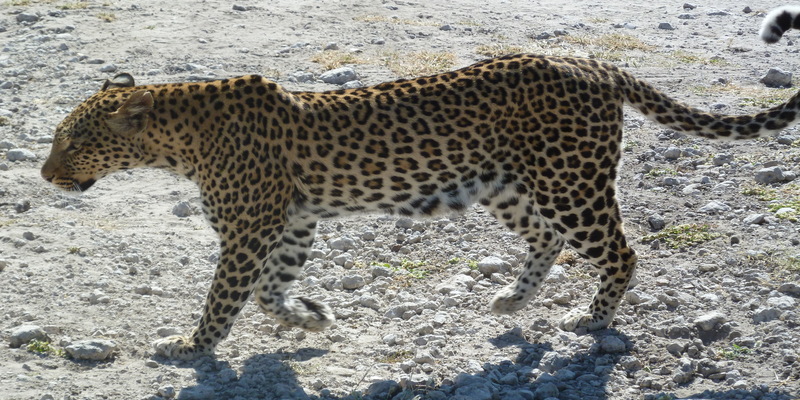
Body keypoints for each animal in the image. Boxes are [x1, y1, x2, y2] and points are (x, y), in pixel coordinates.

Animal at [41, 6, 800, 360]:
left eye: (72, 139)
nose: (45, 174)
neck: (178, 138)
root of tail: (591, 62)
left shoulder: (251, 227)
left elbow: (227, 296)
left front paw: (189, 347)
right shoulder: (293, 221)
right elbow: (269, 289)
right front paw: (309, 318)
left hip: (571, 183)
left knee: (621, 250)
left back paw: (590, 318)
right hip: (507, 186)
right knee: (546, 240)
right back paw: (511, 302)